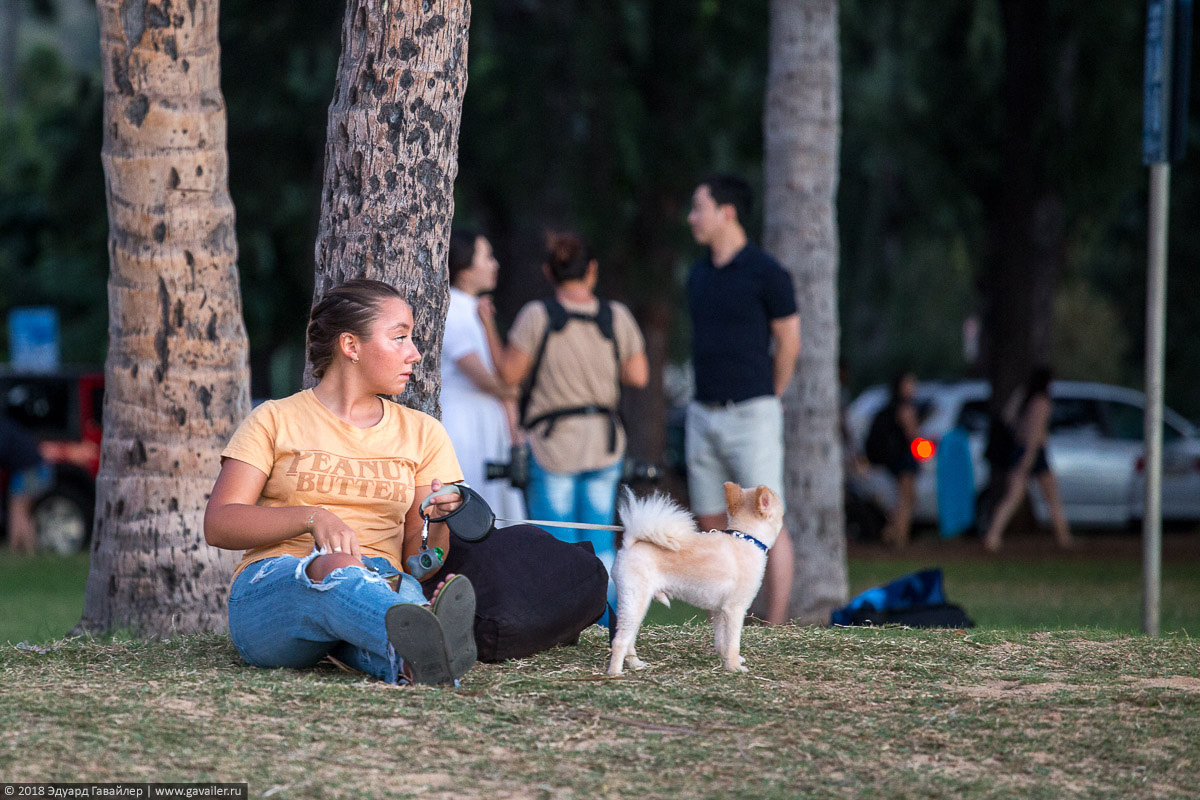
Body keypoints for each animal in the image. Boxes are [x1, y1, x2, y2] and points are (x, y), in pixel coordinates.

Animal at [609, 482, 787, 676]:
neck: (747, 538)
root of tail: (629, 544)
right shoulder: (735, 609)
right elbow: (733, 643)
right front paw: (734, 667)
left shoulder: (720, 610)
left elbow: (721, 640)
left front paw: (725, 658)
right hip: (634, 601)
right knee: (619, 641)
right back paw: (615, 673)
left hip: (639, 606)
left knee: (629, 639)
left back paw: (635, 664)